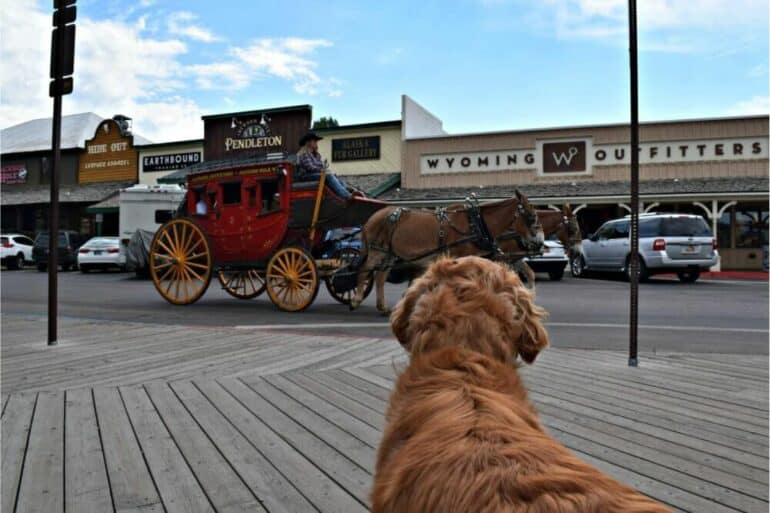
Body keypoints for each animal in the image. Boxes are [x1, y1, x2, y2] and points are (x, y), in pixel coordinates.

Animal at [348, 191, 540, 312]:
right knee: (363, 271)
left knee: (380, 277)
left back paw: (382, 307)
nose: (538, 241)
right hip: (377, 251)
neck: (475, 223)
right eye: (531, 216)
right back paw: (356, 301)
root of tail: (372, 218)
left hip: (389, 253)